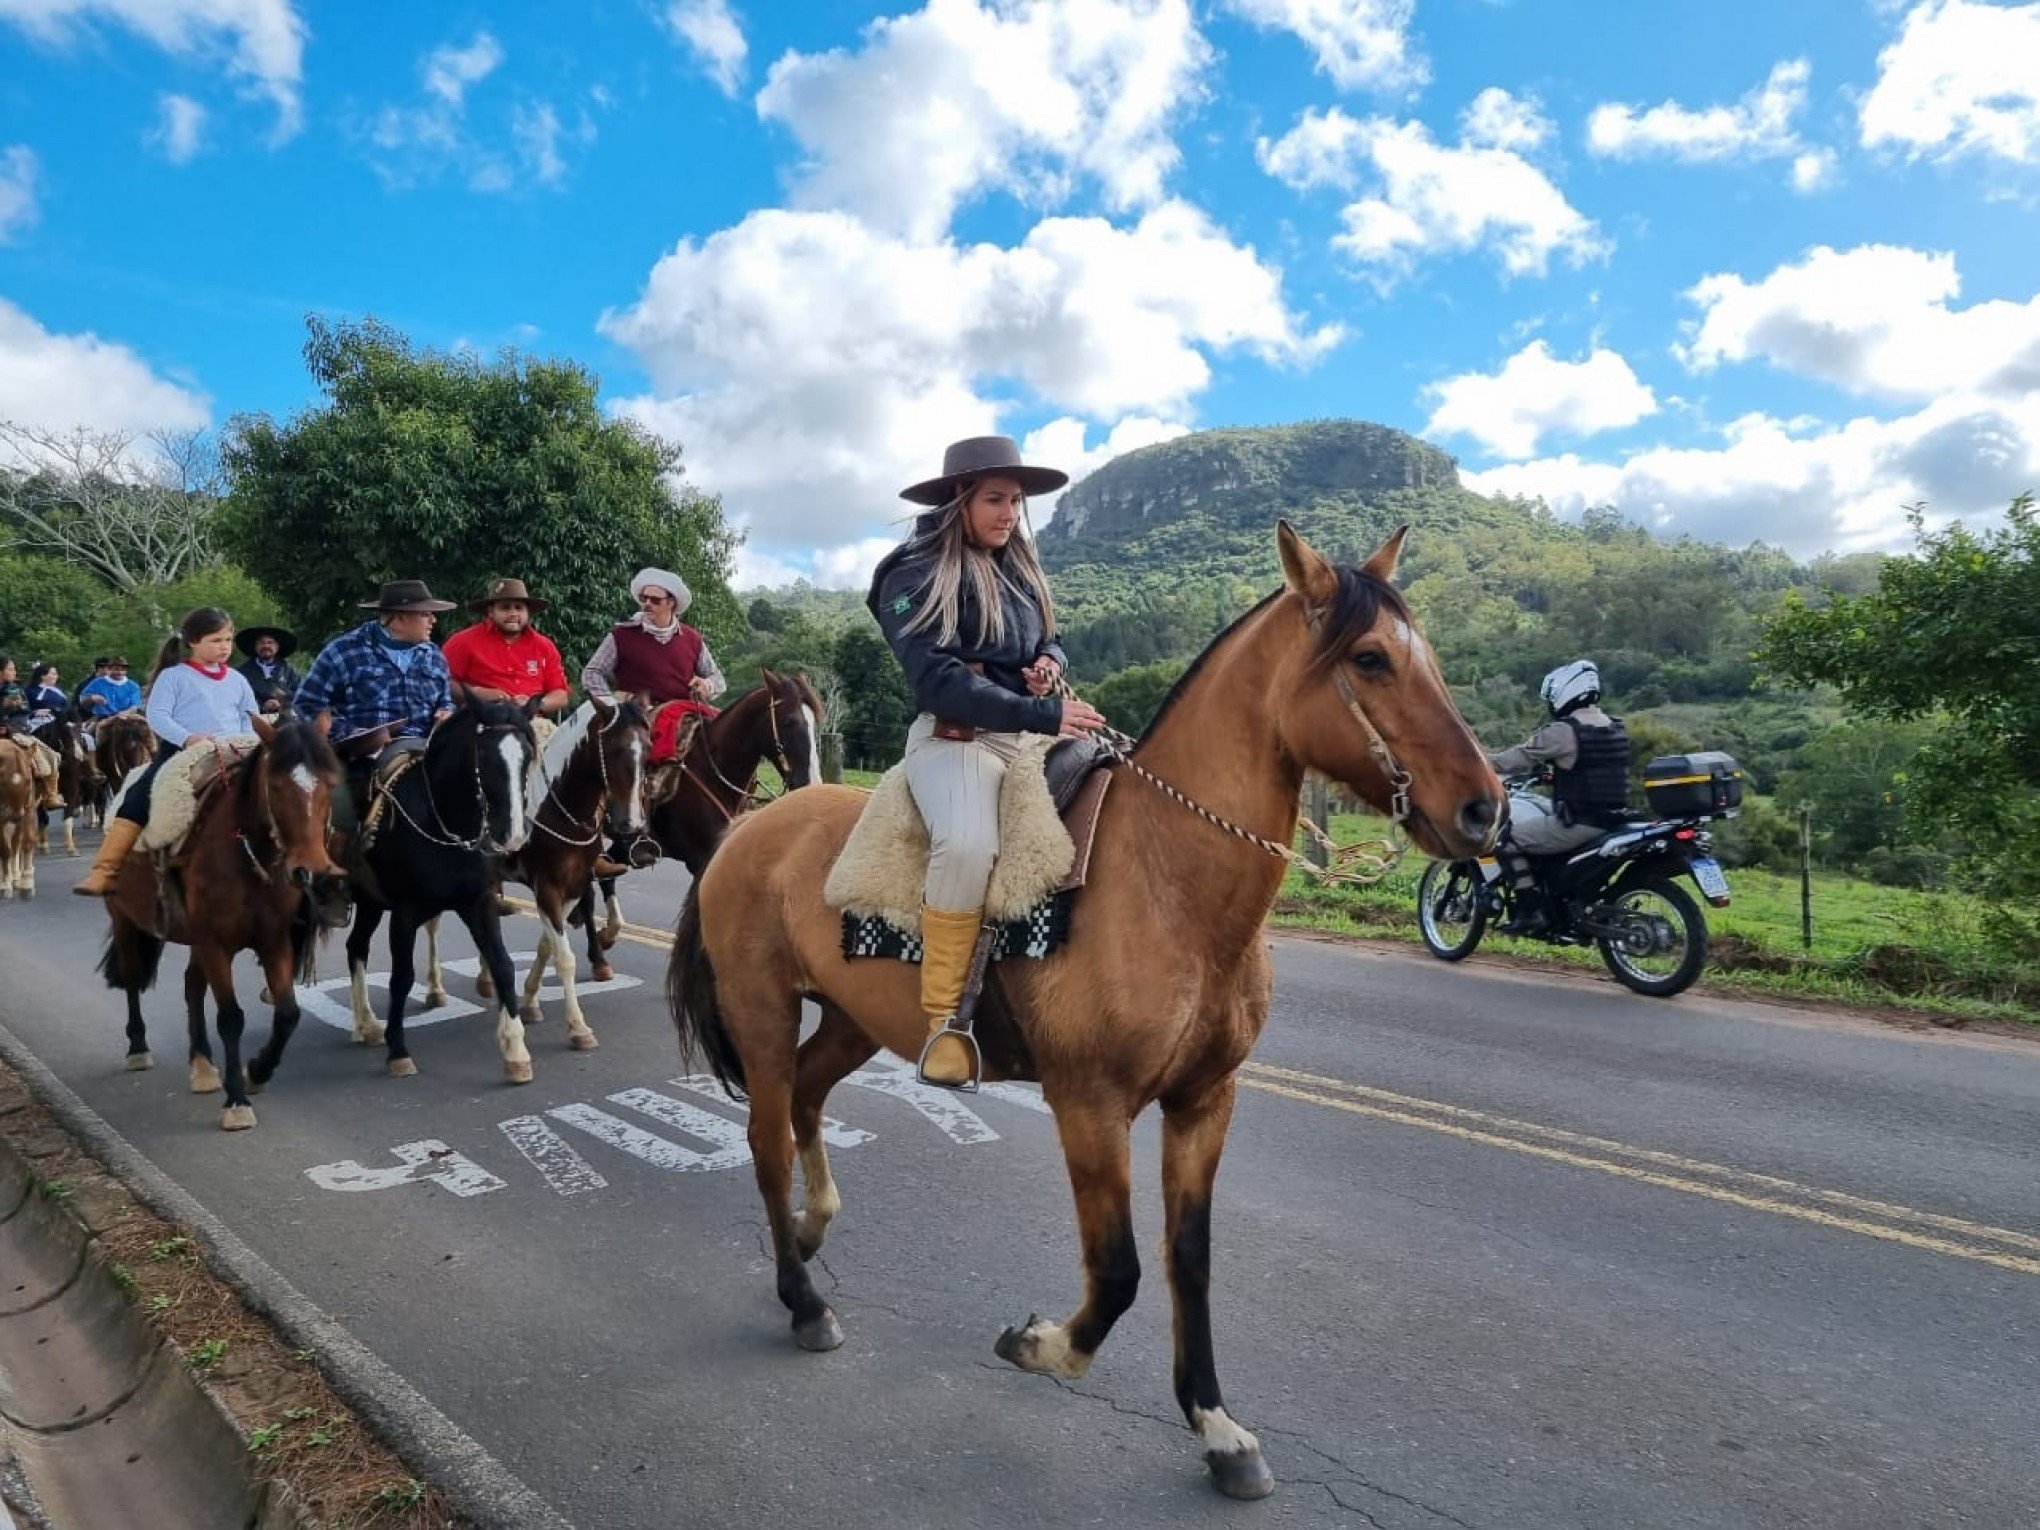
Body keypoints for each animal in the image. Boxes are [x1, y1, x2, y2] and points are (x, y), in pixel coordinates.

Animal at [93, 726, 348, 1134]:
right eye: (276, 786)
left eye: (329, 783)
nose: (311, 870)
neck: (248, 854)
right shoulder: (216, 943)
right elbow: (230, 1018)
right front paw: (237, 1103)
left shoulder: (273, 941)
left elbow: (288, 1014)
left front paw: (256, 1071)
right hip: (127, 921)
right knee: (133, 979)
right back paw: (138, 1049)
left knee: (191, 985)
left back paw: (201, 1064)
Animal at [338, 701, 542, 1085]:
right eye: (485, 757)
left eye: (526, 755)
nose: (513, 835)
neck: (445, 822)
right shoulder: (404, 914)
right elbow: (401, 978)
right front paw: (398, 1052)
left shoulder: (478, 903)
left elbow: (503, 965)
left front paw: (516, 1051)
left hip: (371, 903)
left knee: (355, 946)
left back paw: (365, 1024)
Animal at [665, 526, 1501, 1501]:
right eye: (1370, 658)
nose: (1484, 809)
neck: (1166, 880)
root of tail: (746, 831)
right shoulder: (1091, 1107)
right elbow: (1119, 1271)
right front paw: (1041, 1345)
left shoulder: (1204, 1102)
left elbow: (1188, 1261)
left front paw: (1217, 1426)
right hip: (763, 1013)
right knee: (764, 1137)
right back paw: (803, 1300)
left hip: (848, 1021)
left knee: (804, 1099)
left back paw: (810, 1229)